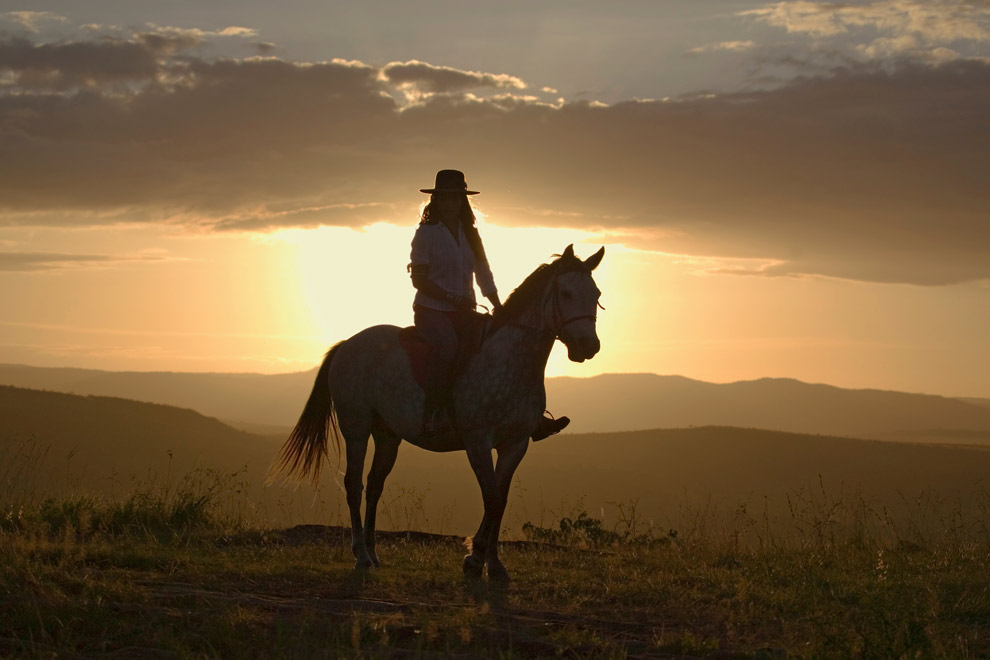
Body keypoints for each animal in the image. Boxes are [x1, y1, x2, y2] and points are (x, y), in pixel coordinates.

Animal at [271, 244, 604, 582]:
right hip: (356, 427)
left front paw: (493, 563)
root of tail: (347, 344)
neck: (511, 361)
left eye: (596, 294)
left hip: (387, 435)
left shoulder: (515, 444)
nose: (588, 347)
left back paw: (374, 553)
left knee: (375, 485)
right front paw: (475, 559)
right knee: (354, 484)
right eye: (565, 293)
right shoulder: (477, 441)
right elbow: (491, 498)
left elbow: (500, 499)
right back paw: (361, 555)